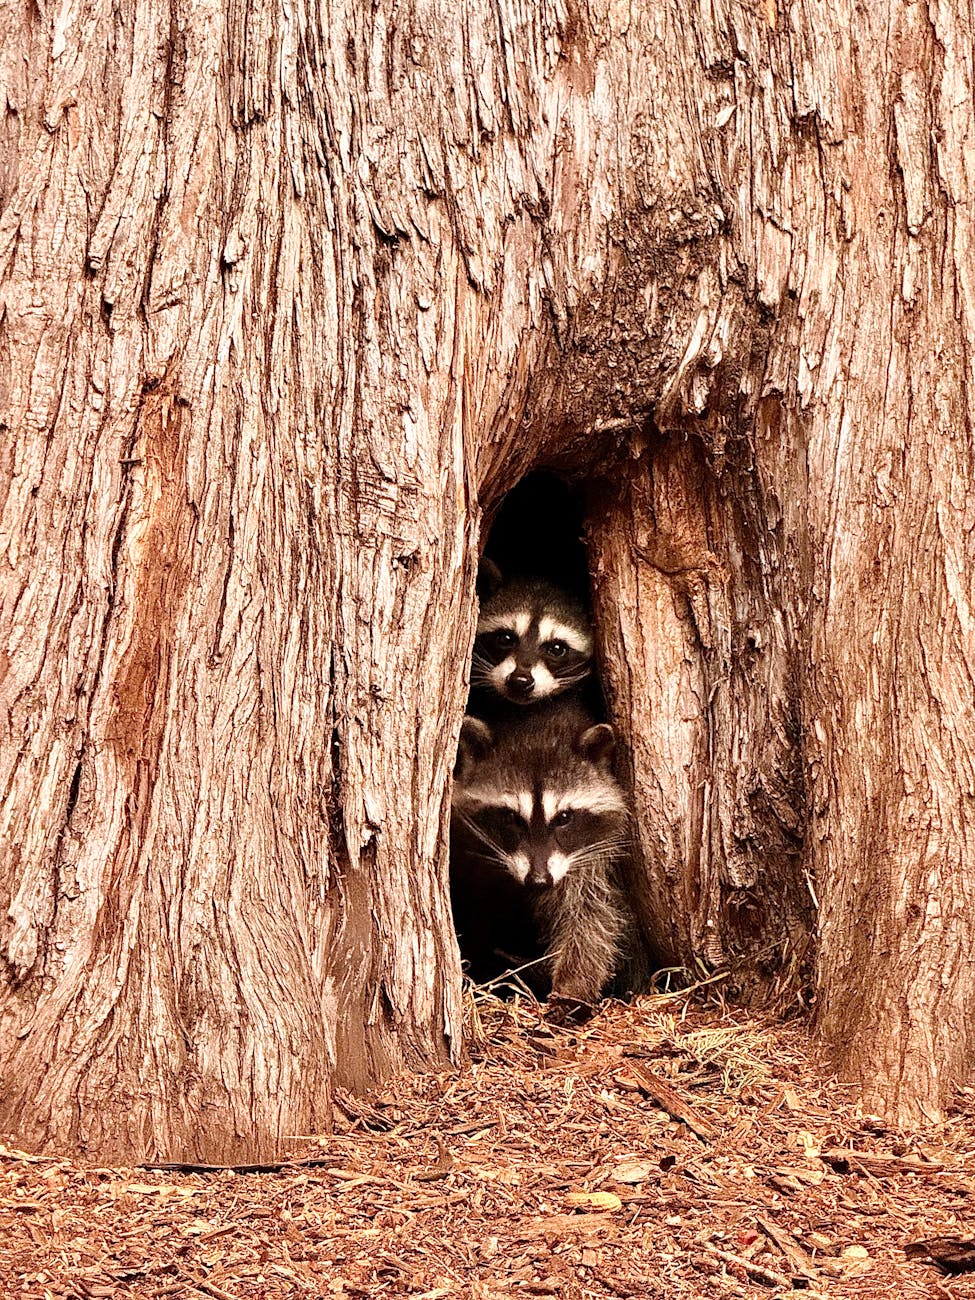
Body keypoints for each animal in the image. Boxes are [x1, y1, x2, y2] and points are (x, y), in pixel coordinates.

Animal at [450, 697, 631, 1006]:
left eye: (564, 817)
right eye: (511, 817)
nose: (538, 880)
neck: (540, 722)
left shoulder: (595, 853)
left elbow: (591, 916)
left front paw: (573, 985)